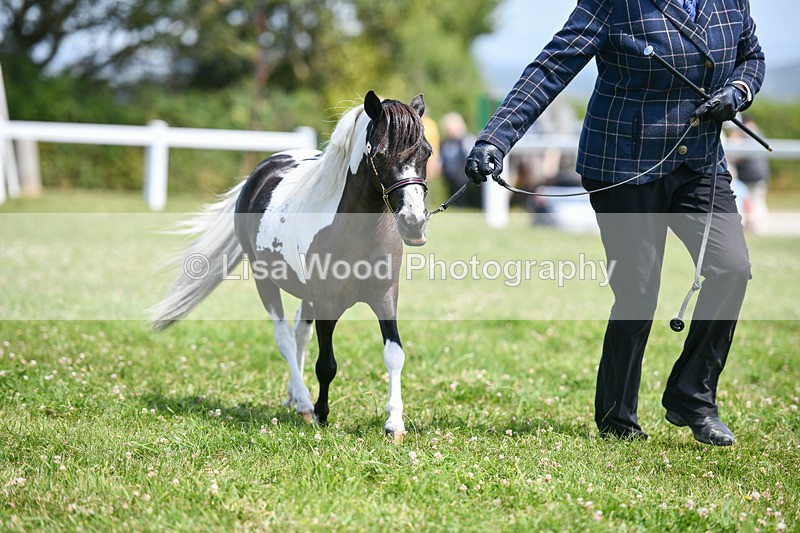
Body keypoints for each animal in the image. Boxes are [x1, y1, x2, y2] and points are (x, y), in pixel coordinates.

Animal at [150, 91, 432, 438]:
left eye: (427, 152)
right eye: (379, 155)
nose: (414, 224)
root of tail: (261, 171)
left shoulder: (385, 297)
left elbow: (394, 354)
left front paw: (394, 423)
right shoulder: (326, 303)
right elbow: (326, 364)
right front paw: (321, 414)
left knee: (299, 335)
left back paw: (293, 395)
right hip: (266, 283)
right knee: (285, 337)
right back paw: (303, 403)